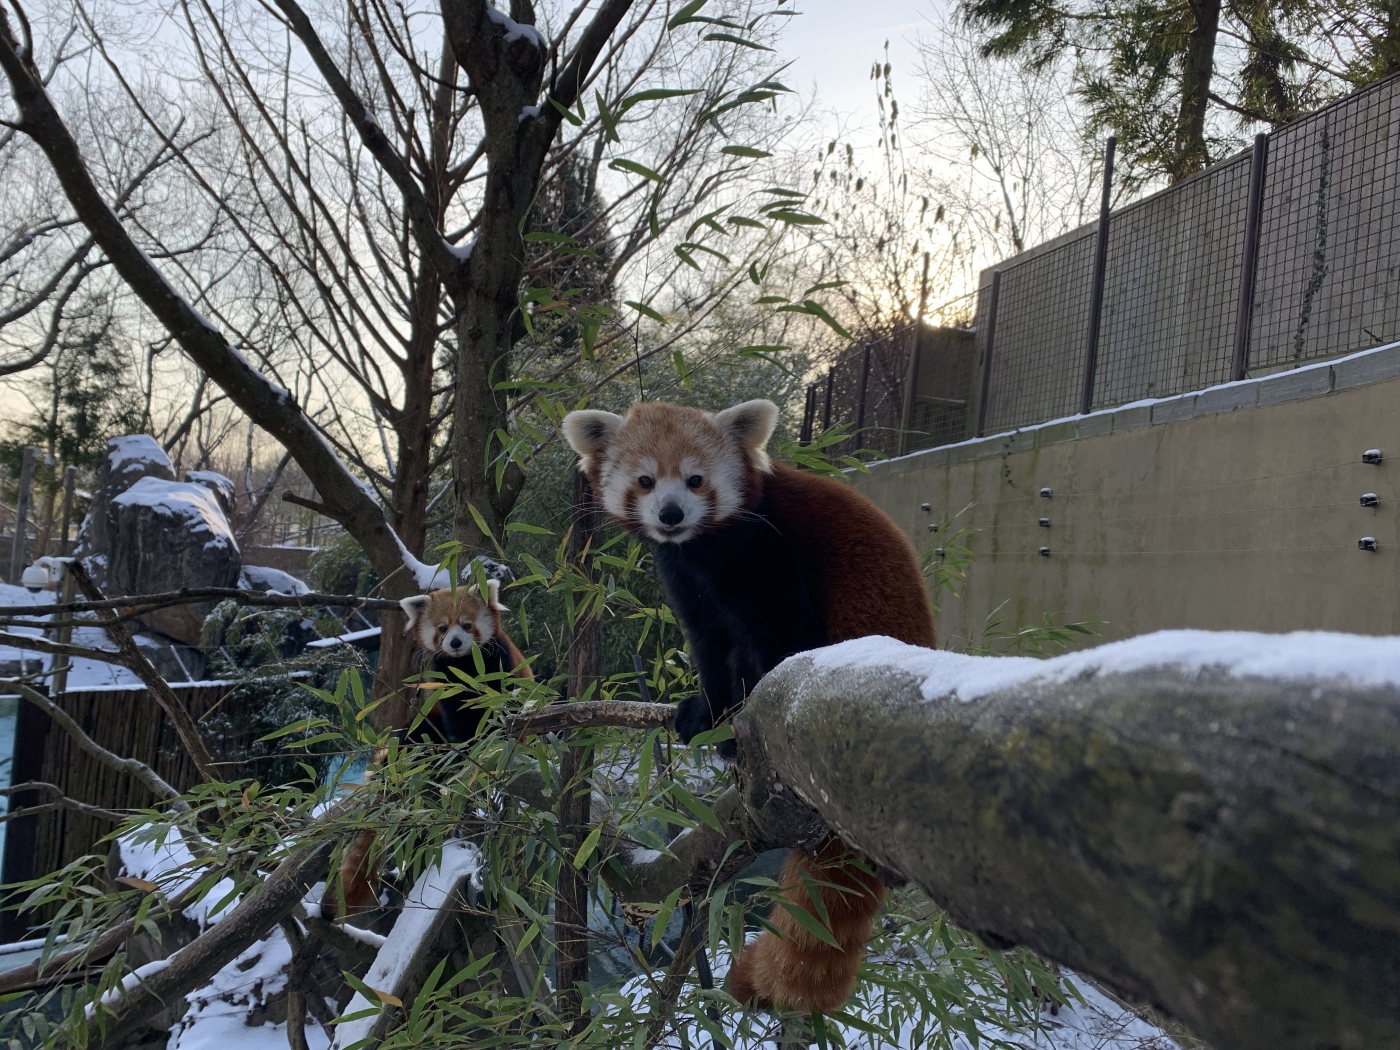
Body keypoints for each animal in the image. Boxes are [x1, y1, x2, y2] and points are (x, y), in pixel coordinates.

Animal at [336, 579, 532, 918]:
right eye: (442, 628)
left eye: (466, 625)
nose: (454, 642)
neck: (466, 663)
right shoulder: (444, 682)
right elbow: (457, 722)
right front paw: (464, 746)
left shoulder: (499, 664)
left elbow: (500, 708)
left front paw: (486, 739)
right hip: (421, 727)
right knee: (413, 738)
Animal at [560, 397, 940, 1013]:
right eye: (645, 481)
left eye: (695, 480)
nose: (670, 514)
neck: (703, 546)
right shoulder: (687, 578)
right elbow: (712, 642)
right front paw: (712, 718)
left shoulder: (765, 553)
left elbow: (781, 637)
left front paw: (744, 729)